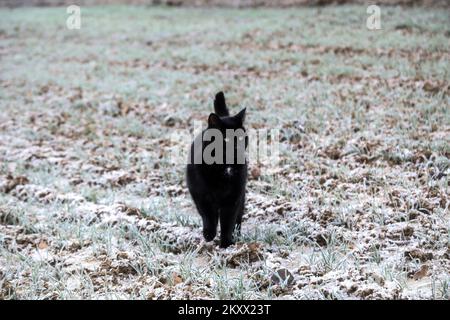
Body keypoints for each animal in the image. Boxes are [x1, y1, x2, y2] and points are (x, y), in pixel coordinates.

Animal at [187, 91, 250, 249]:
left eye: (242, 138)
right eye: (226, 139)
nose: (237, 148)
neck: (224, 168)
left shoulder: (233, 199)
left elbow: (228, 223)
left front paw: (226, 245)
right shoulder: (201, 196)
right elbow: (209, 216)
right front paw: (209, 234)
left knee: (238, 219)